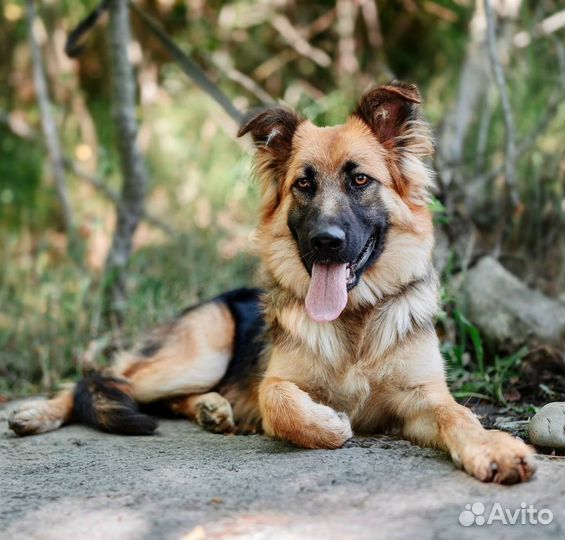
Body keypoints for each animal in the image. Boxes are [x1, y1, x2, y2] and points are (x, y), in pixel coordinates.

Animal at [11, 82, 536, 484]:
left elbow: (458, 414)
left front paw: (494, 448)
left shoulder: (422, 398)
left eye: (360, 180)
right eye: (303, 184)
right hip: (200, 354)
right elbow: (279, 400)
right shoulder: (280, 381)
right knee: (107, 377)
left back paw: (211, 409)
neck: (355, 317)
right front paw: (329, 424)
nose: (326, 242)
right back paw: (37, 413)